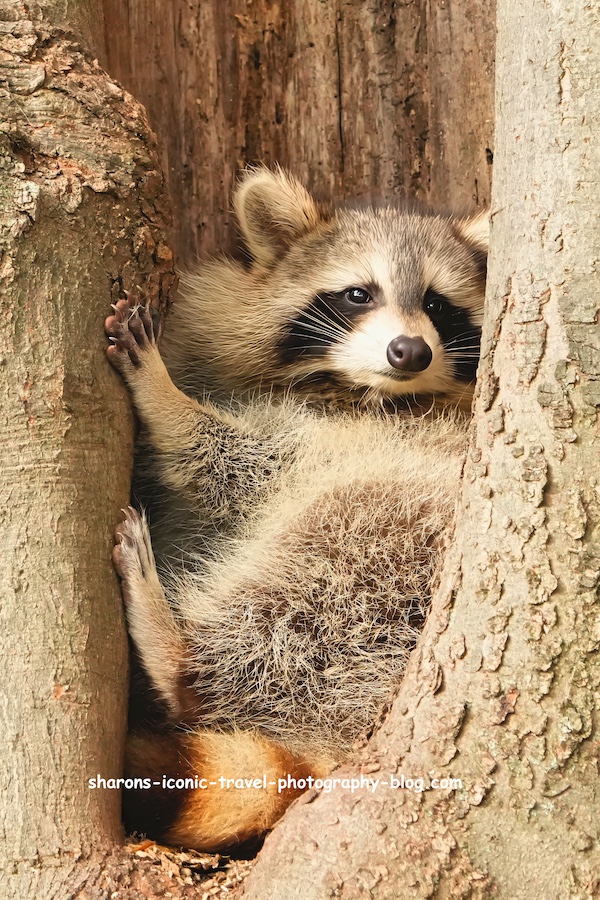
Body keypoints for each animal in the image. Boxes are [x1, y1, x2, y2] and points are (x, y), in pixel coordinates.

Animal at [105, 171, 487, 852]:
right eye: (359, 294)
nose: (410, 351)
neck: (352, 388)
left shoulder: (359, 437)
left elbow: (229, 458)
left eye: (439, 305)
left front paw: (163, 398)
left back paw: (180, 655)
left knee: (317, 557)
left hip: (393, 552)